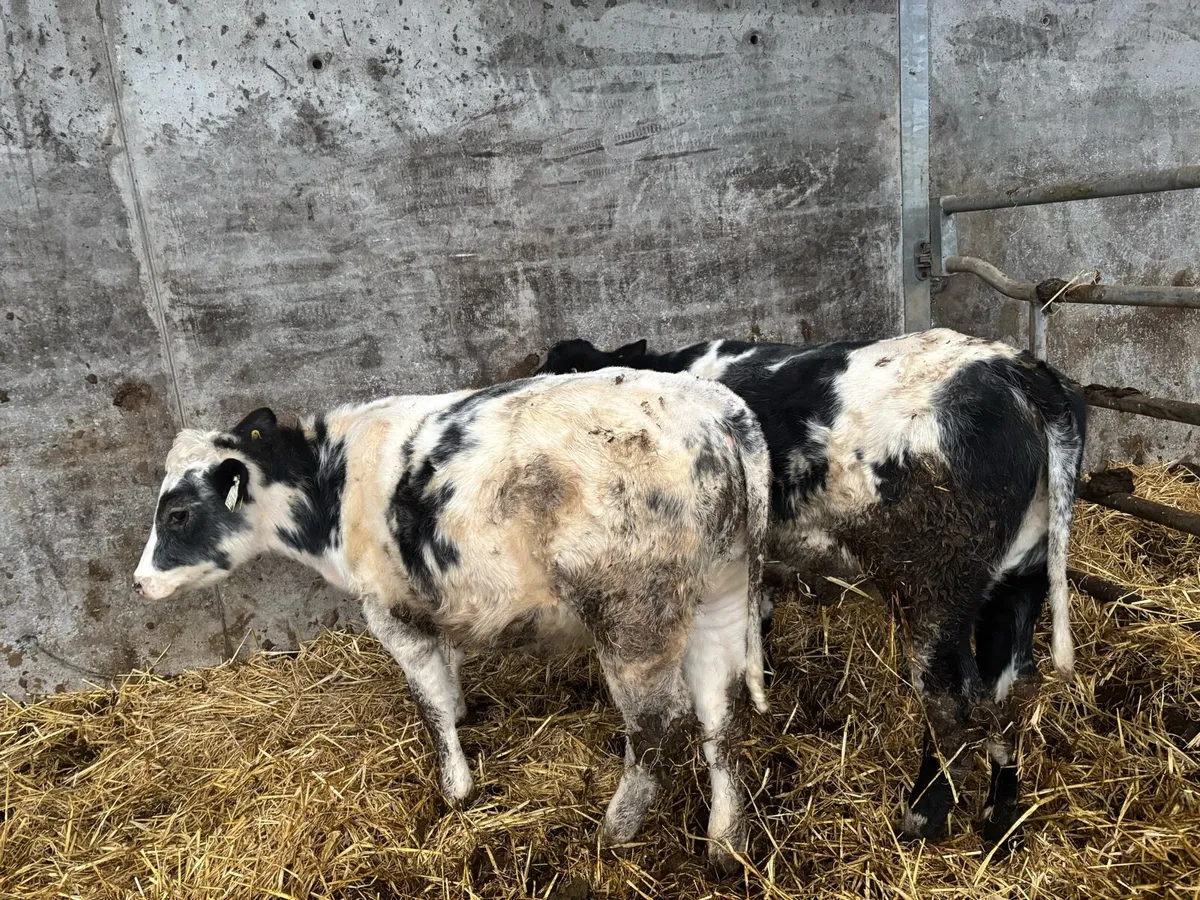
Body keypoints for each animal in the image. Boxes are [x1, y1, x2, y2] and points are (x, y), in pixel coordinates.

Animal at [132, 371, 772, 872]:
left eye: (178, 512)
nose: (139, 582)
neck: (332, 485)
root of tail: (714, 406)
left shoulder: (391, 612)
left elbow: (430, 702)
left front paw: (456, 790)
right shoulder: (442, 598)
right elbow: (452, 669)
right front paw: (465, 714)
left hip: (633, 616)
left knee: (657, 724)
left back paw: (612, 832)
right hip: (718, 595)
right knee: (721, 712)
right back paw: (725, 841)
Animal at [538, 328, 1087, 851]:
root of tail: (1018, 368)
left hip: (936, 591)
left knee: (952, 705)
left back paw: (921, 816)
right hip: (1020, 579)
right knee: (1010, 691)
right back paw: (1000, 817)